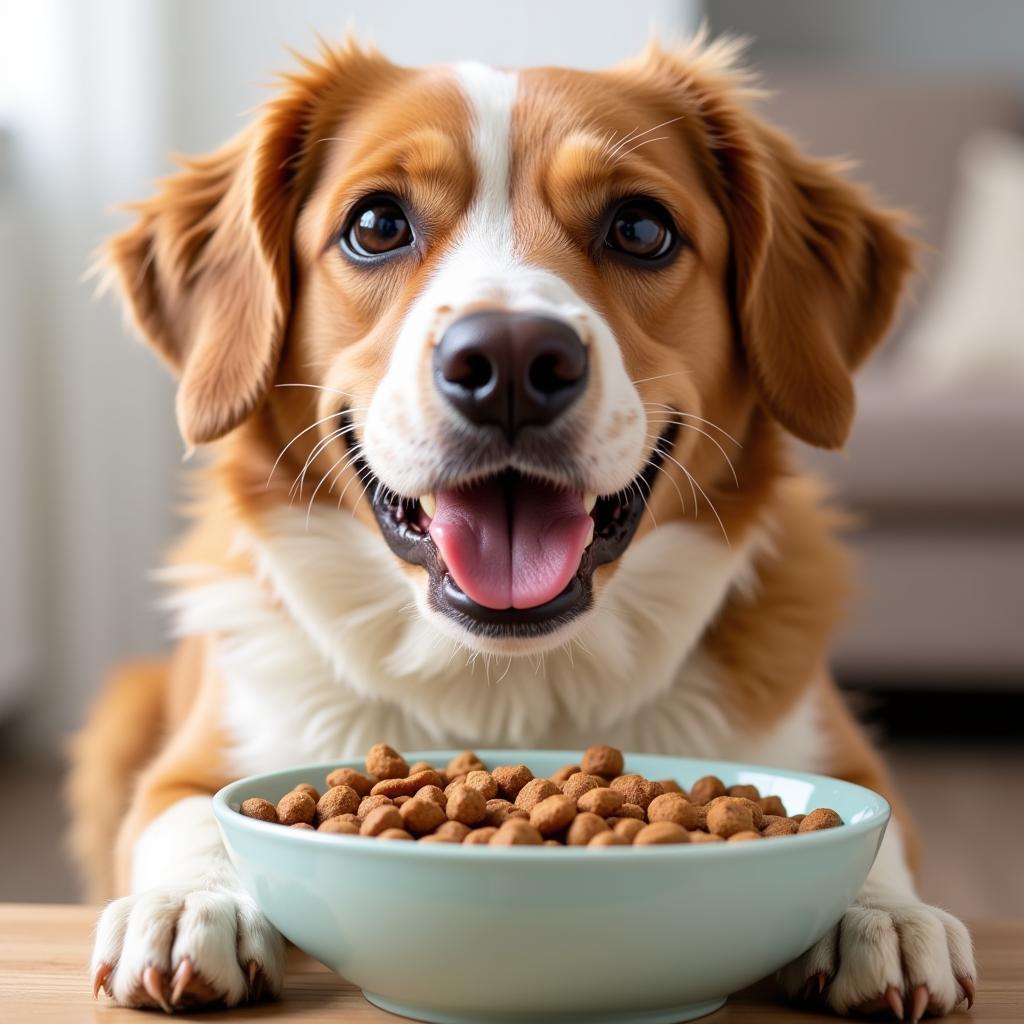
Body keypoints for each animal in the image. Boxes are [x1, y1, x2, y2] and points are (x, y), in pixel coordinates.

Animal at [68, 32, 978, 1015]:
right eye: (376, 224)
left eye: (641, 228)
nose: (508, 360)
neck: (508, 681)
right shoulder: (192, 761)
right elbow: (190, 815)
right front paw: (189, 902)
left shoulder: (841, 758)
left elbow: (878, 836)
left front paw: (883, 916)